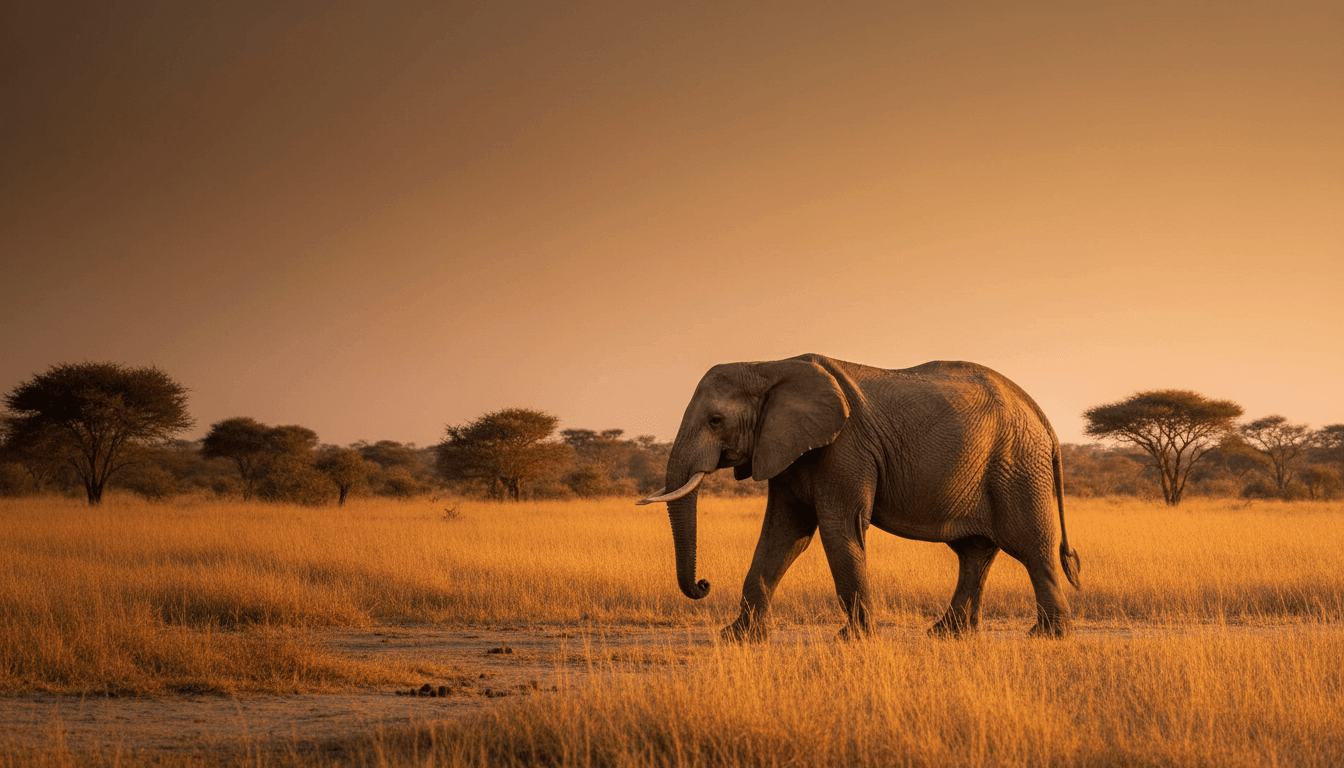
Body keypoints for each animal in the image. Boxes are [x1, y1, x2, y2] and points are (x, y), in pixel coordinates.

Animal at [636, 354, 1081, 641]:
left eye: (716, 421)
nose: (703, 584)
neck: (767, 365)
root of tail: (1041, 415)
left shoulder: (845, 446)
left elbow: (838, 529)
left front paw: (854, 639)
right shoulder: (787, 447)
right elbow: (784, 535)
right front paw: (736, 637)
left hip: (1018, 465)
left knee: (1030, 546)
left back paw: (1047, 635)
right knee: (975, 551)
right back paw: (946, 634)